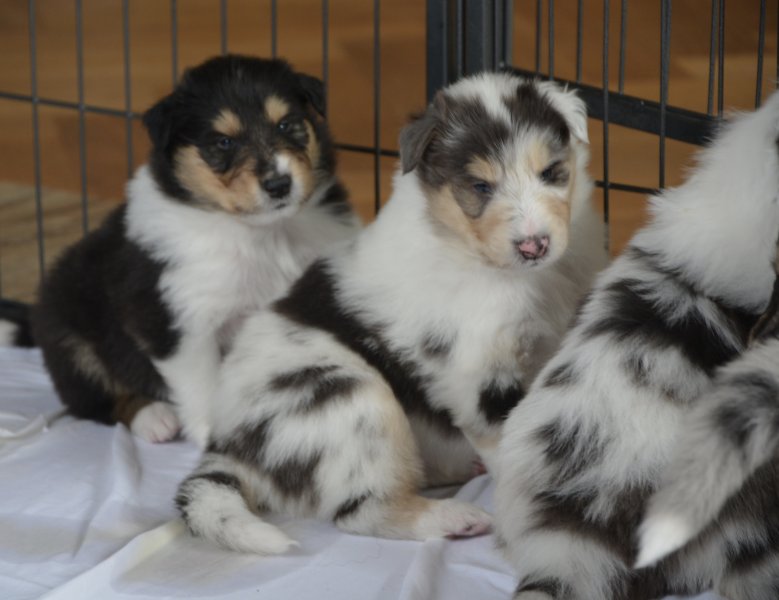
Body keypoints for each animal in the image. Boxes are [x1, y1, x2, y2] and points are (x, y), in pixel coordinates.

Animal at [30, 55, 360, 446]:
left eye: (287, 123)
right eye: (222, 142)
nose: (279, 184)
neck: (263, 233)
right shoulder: (179, 320)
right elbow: (203, 384)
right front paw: (211, 435)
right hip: (71, 339)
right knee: (97, 401)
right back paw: (155, 419)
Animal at [173, 71, 608, 554]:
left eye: (551, 173)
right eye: (480, 187)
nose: (535, 246)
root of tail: (229, 444)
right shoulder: (478, 375)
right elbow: (510, 442)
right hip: (348, 399)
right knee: (362, 510)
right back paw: (453, 517)